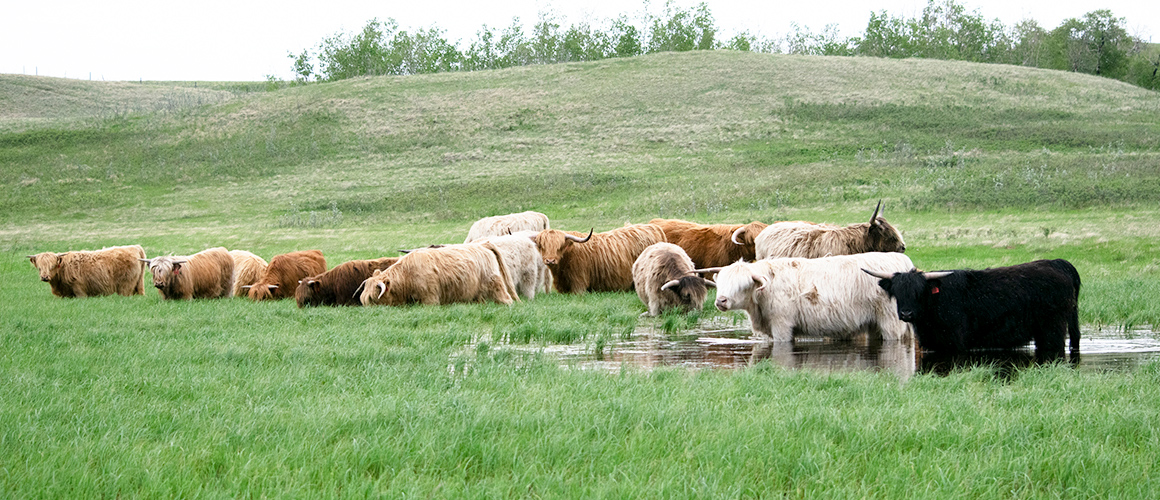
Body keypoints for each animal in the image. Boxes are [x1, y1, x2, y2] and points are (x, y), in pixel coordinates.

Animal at [354, 241, 515, 306]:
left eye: (372, 298)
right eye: (362, 298)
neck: (407, 275)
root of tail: (483, 245)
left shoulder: (430, 298)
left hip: (494, 285)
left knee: (505, 298)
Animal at [705, 252, 914, 343]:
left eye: (742, 285)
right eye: (721, 283)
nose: (721, 300)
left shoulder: (782, 325)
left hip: (890, 321)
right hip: (874, 324)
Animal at [867, 258, 1081, 359]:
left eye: (920, 292)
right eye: (897, 292)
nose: (906, 313)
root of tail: (1057, 263)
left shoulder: (955, 342)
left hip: (1052, 329)